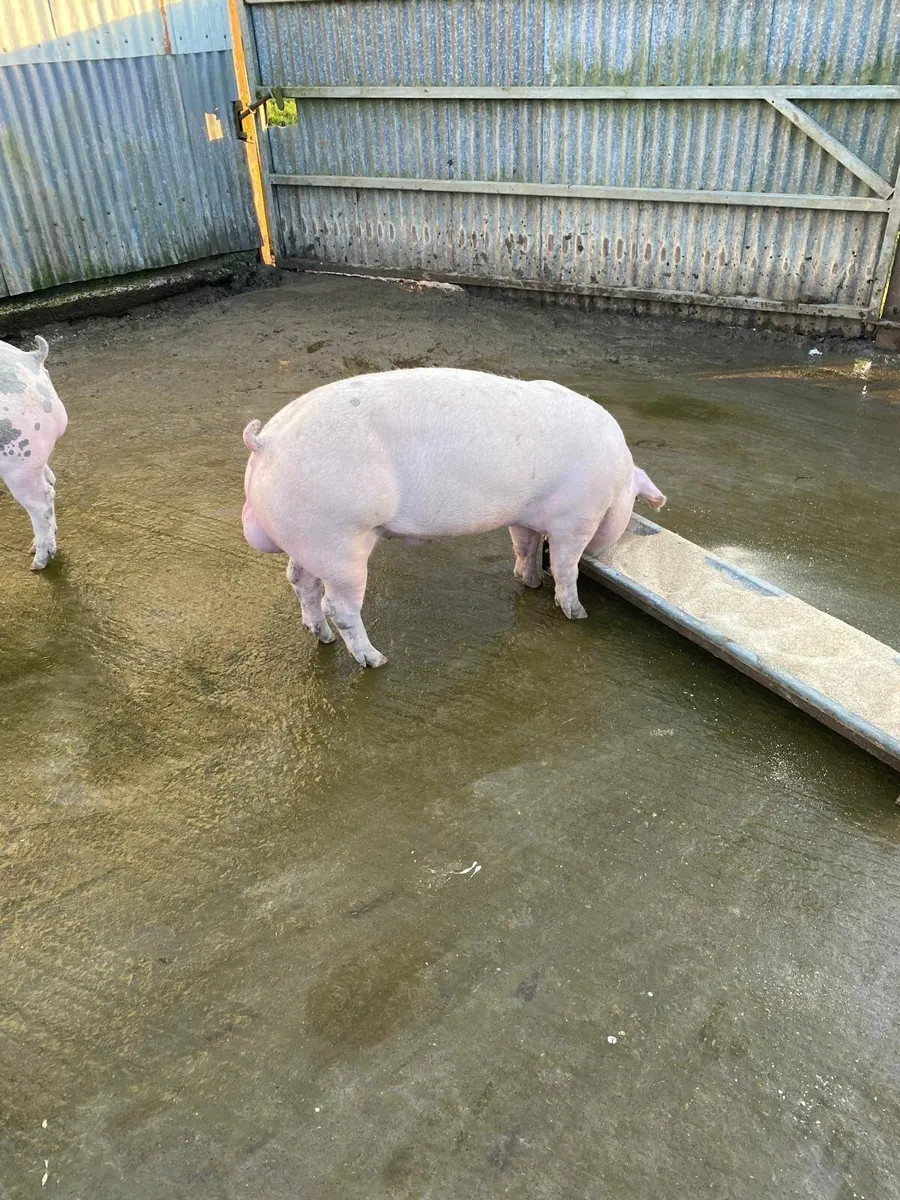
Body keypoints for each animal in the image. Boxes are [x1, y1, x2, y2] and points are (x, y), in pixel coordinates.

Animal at [242, 368, 665, 667]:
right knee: (339, 606)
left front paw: (529, 583)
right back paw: (376, 661)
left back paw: (322, 637)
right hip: (337, 538)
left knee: (300, 582)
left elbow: (525, 546)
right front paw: (577, 614)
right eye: (633, 505)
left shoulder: (524, 516)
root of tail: (266, 441)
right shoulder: (575, 518)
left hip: (307, 540)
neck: (617, 479)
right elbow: (566, 567)